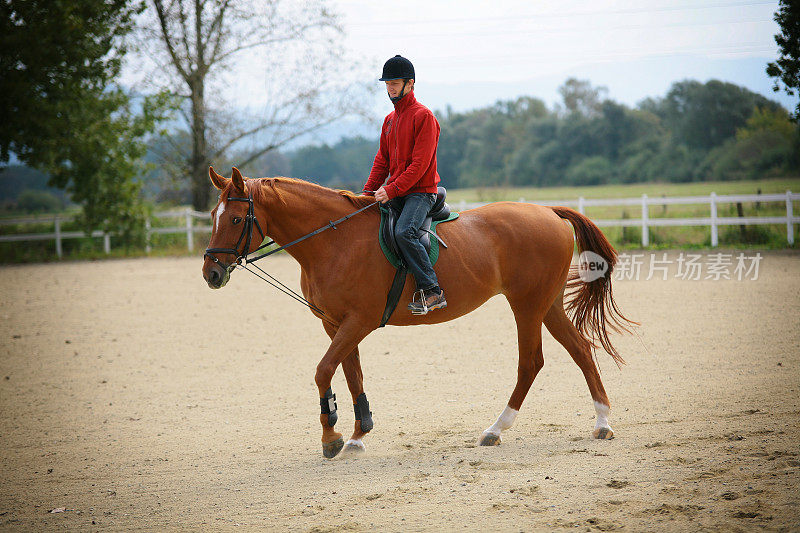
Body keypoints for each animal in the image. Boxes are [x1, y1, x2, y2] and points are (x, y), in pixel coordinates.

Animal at [203, 167, 636, 458]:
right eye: (212, 217)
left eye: (237, 219)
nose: (211, 272)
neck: (334, 241)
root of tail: (549, 212)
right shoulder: (335, 324)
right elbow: (352, 373)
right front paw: (359, 434)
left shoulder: (358, 322)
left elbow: (324, 370)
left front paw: (332, 438)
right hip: (546, 304)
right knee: (581, 350)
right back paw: (602, 423)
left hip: (527, 304)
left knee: (531, 362)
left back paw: (496, 429)